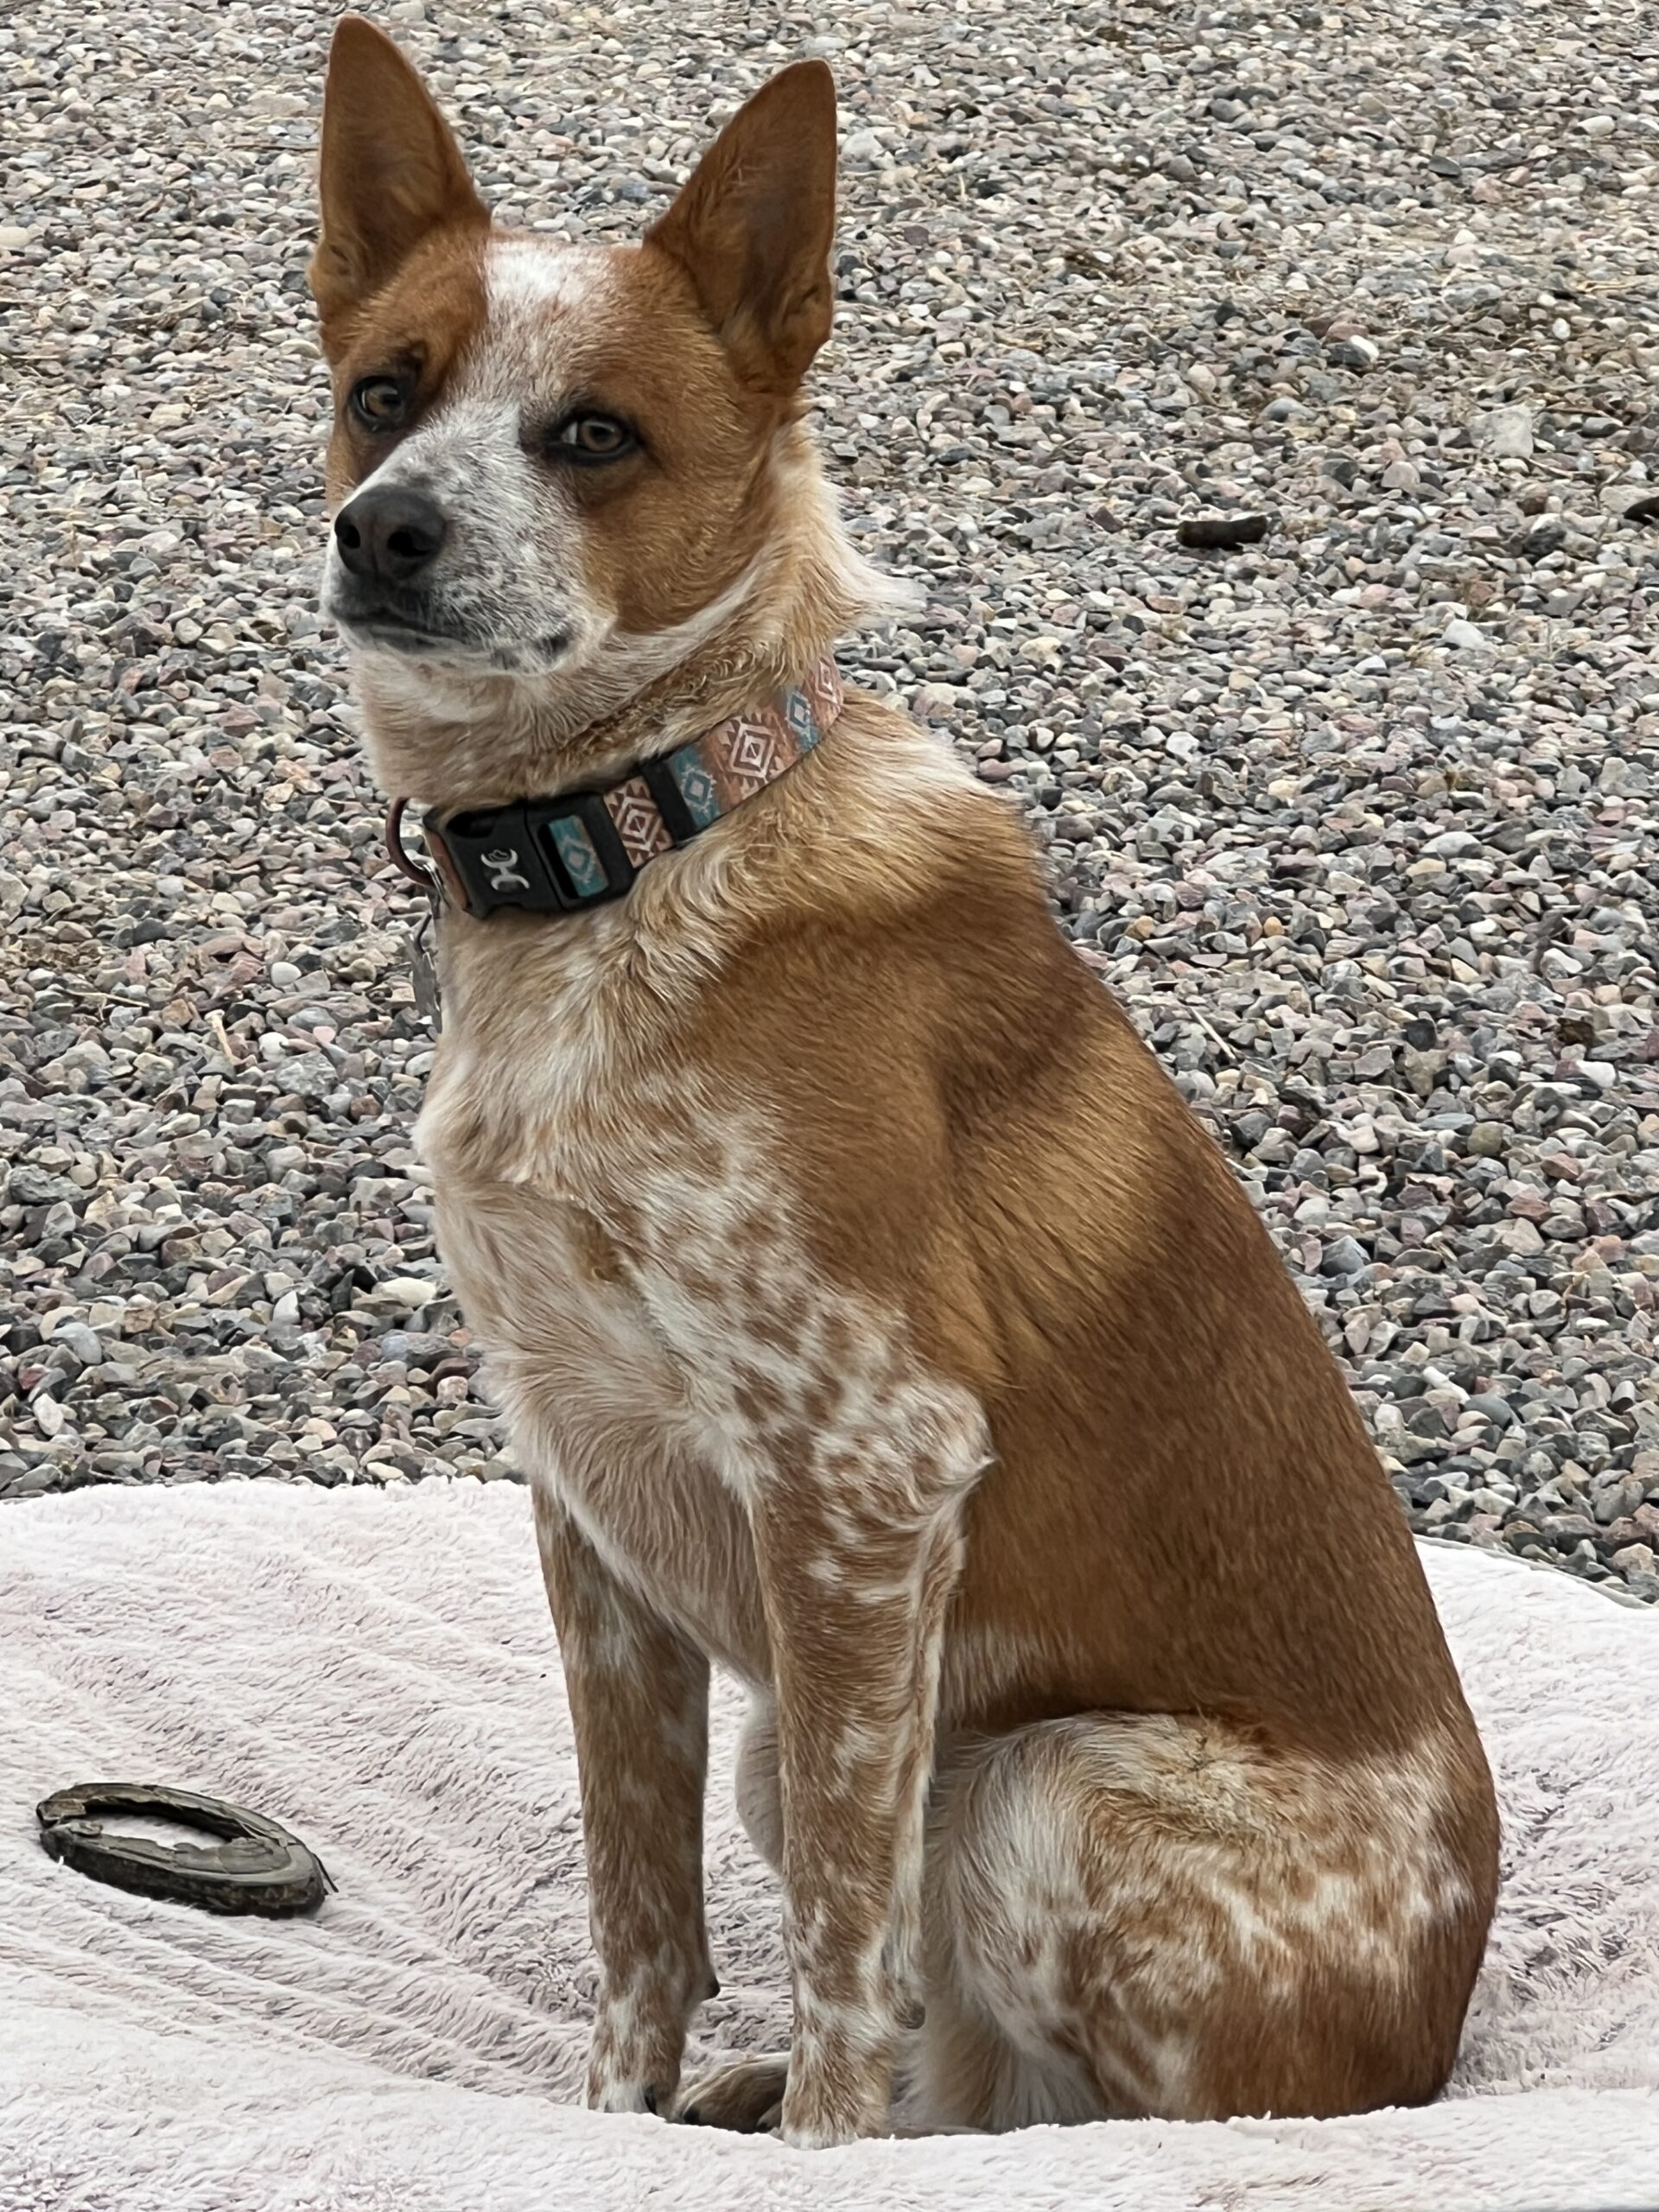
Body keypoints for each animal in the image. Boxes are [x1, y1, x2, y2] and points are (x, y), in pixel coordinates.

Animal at [308, 17, 1499, 2148]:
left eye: (592, 434)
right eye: (387, 394)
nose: (383, 527)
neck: (638, 842)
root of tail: (1428, 2066)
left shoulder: (864, 1473)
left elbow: (845, 1962)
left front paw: (804, 2150)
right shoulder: (582, 1497)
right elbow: (638, 1912)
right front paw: (620, 2122)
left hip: (1022, 1783)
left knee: (1062, 2111)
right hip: (807, 1736)